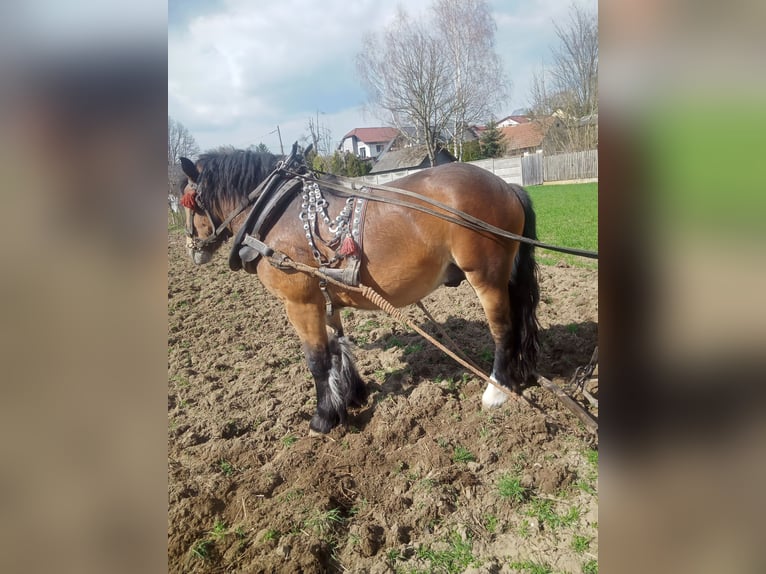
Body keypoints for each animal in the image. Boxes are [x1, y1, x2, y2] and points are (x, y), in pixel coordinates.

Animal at [179, 148, 540, 434]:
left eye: (189, 204)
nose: (192, 248)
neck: (276, 210)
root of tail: (507, 186)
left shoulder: (300, 303)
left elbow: (317, 360)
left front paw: (323, 418)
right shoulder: (324, 296)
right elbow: (337, 348)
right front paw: (352, 396)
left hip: (486, 277)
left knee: (503, 330)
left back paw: (497, 390)